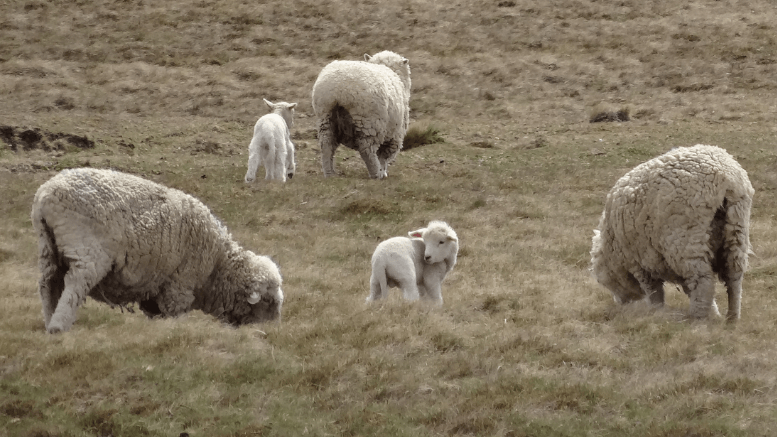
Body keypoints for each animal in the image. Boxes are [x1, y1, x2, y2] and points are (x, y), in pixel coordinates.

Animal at [32, 169, 284, 332]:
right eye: (268, 302)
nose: (272, 332)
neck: (217, 264)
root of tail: (46, 194)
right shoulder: (180, 285)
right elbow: (175, 315)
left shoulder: (155, 292)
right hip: (86, 248)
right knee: (74, 283)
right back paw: (58, 327)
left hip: (47, 247)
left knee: (48, 284)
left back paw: (49, 322)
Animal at [310, 50, 412, 179]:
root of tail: (340, 90)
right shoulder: (395, 134)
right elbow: (384, 156)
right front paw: (383, 172)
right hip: (370, 122)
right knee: (366, 149)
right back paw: (375, 174)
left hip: (325, 116)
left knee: (327, 144)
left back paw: (330, 174)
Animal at [588, 145, 752, 318]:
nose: (619, 303)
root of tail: (725, 178)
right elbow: (689, 290)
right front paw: (714, 314)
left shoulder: (639, 263)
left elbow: (654, 292)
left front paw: (656, 312)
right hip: (737, 228)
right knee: (734, 277)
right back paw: (732, 318)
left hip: (686, 240)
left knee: (703, 280)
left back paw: (697, 318)